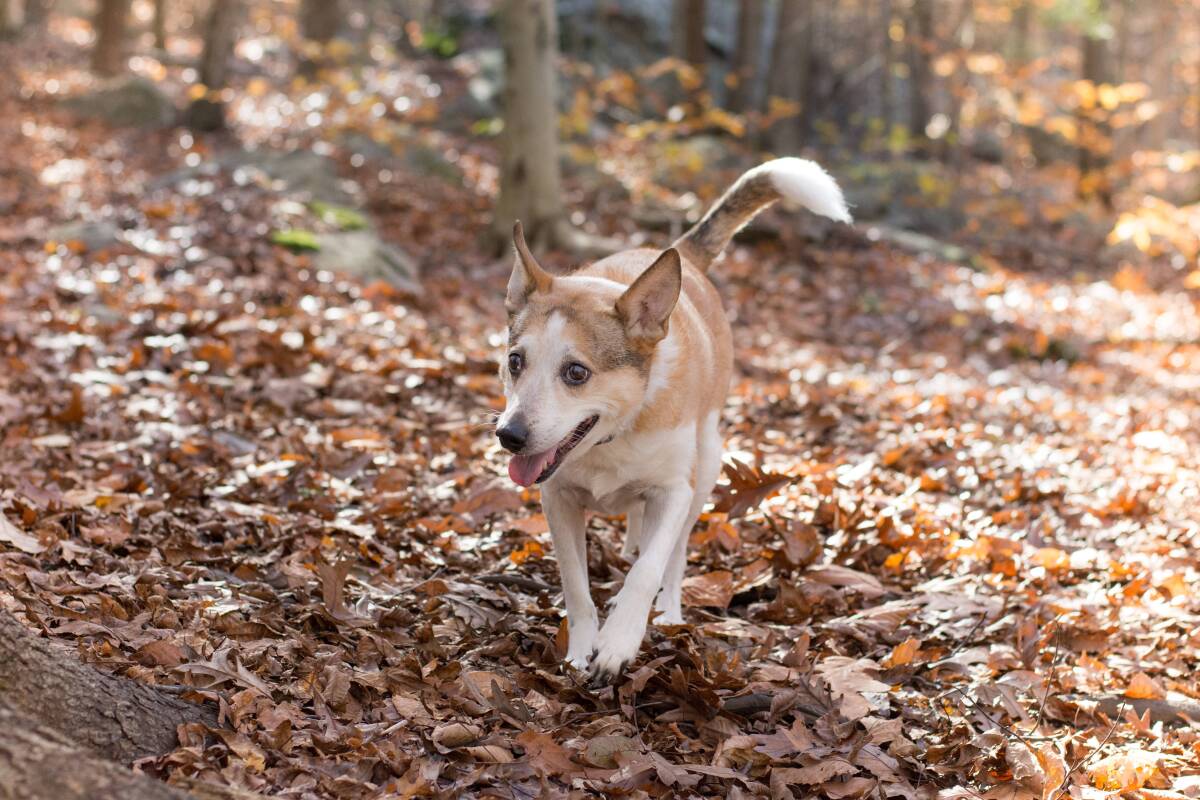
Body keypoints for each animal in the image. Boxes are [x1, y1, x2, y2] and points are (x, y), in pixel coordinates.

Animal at [496, 159, 854, 681]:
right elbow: (576, 584)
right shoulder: (557, 496)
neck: (615, 433)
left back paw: (667, 612)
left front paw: (619, 641)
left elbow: (649, 569)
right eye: (515, 361)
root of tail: (679, 254)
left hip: (707, 464)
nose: (510, 435)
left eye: (576, 372)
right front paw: (582, 649)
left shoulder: (673, 491)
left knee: (675, 551)